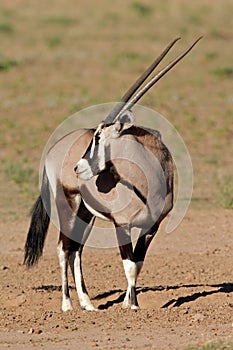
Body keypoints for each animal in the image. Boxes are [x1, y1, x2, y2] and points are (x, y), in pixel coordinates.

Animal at [24, 37, 202, 312]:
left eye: (98, 137)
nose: (78, 167)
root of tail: (54, 150)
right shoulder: (122, 225)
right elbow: (129, 265)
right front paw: (131, 307)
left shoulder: (151, 227)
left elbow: (137, 264)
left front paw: (131, 303)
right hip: (68, 205)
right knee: (63, 248)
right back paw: (67, 305)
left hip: (86, 213)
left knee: (77, 250)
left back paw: (87, 303)